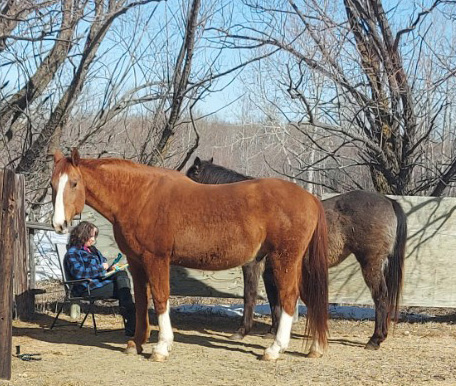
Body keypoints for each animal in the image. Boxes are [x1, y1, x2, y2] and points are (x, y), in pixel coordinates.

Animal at [50, 149, 330, 362]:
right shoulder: (137, 263)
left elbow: (160, 299)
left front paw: (161, 347)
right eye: (52, 185)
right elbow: (141, 301)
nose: (59, 224)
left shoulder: (156, 259)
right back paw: (315, 347)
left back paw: (274, 349)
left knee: (289, 298)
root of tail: (310, 197)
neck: (140, 196)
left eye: (74, 183)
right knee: (310, 298)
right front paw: (137, 343)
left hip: (284, 259)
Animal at [187, 156, 408, 350]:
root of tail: (388, 201)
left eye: (189, 175)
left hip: (370, 264)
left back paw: (375, 339)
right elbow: (274, 299)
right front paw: (274, 330)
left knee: (380, 296)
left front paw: (242, 331)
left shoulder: (253, 264)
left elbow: (250, 295)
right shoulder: (270, 269)